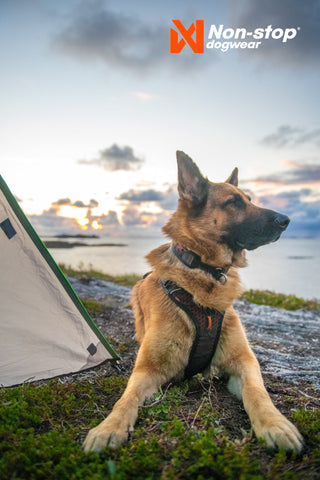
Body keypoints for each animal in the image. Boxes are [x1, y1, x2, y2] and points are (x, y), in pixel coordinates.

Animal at [84, 150, 304, 454]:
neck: (202, 272)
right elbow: (125, 399)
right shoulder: (146, 370)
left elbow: (258, 394)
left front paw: (276, 425)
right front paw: (108, 427)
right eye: (234, 202)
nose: (286, 220)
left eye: (249, 199)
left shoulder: (244, 362)